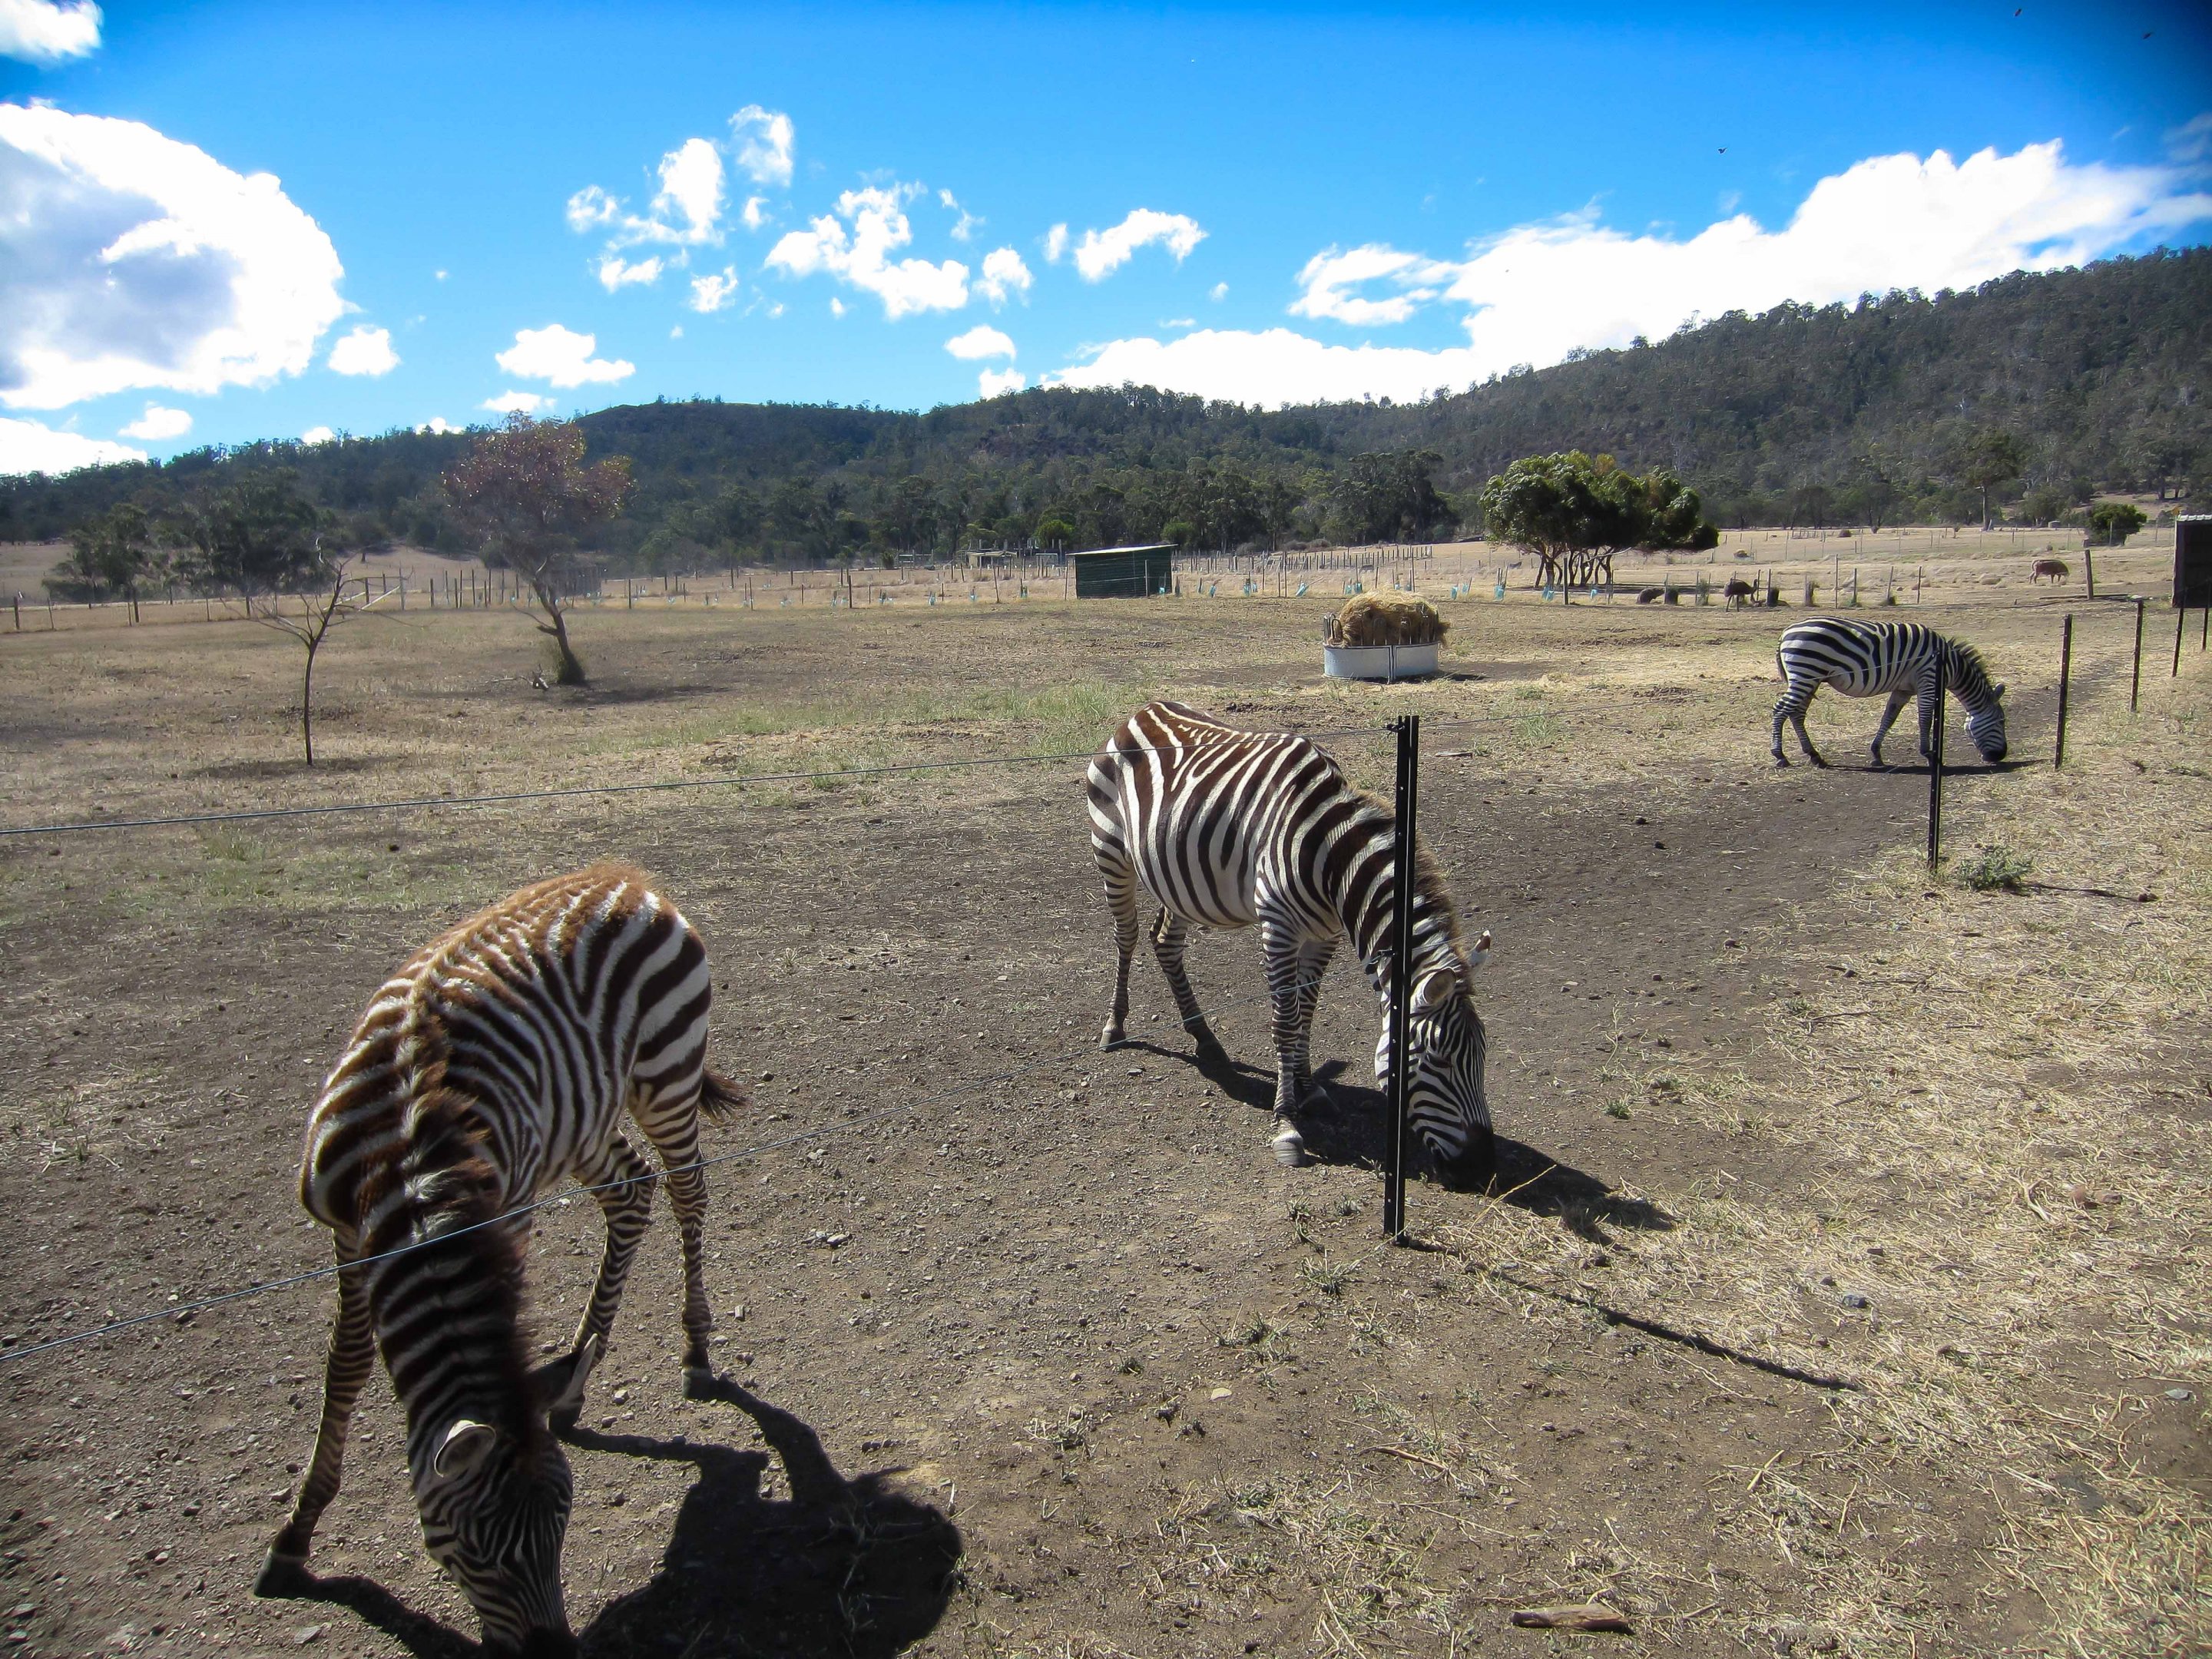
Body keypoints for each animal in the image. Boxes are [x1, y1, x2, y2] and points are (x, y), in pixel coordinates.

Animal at [254, 865, 744, 1656]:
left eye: (564, 1529)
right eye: (470, 1551)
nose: (553, 1653)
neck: (406, 1156)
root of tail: (622, 875)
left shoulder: (504, 1211)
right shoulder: (348, 1239)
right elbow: (346, 1367)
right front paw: (296, 1532)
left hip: (666, 1071)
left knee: (686, 1191)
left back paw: (696, 1347)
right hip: (582, 1117)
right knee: (632, 1193)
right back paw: (576, 1377)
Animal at [1087, 699, 1494, 1174]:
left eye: (1482, 1056)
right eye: (1438, 1061)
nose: (1483, 1163)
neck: (1331, 863)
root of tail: (1147, 709)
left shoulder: (1324, 936)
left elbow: (1307, 1013)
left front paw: (1310, 1088)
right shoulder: (1278, 928)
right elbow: (1285, 1021)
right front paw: (1286, 1123)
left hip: (1177, 878)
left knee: (1166, 942)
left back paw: (1205, 1037)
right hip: (1112, 852)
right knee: (1127, 936)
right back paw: (1115, 1025)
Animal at [1771, 617, 2009, 769]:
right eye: (2001, 722)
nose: (2000, 756)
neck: (1948, 664)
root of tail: (1785, 632)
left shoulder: (1903, 689)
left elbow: (1889, 718)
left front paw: (1876, 754)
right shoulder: (1928, 679)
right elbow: (1925, 720)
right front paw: (1930, 755)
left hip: (1810, 678)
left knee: (1797, 714)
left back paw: (1815, 756)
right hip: (1806, 673)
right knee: (1780, 710)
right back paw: (1780, 756)